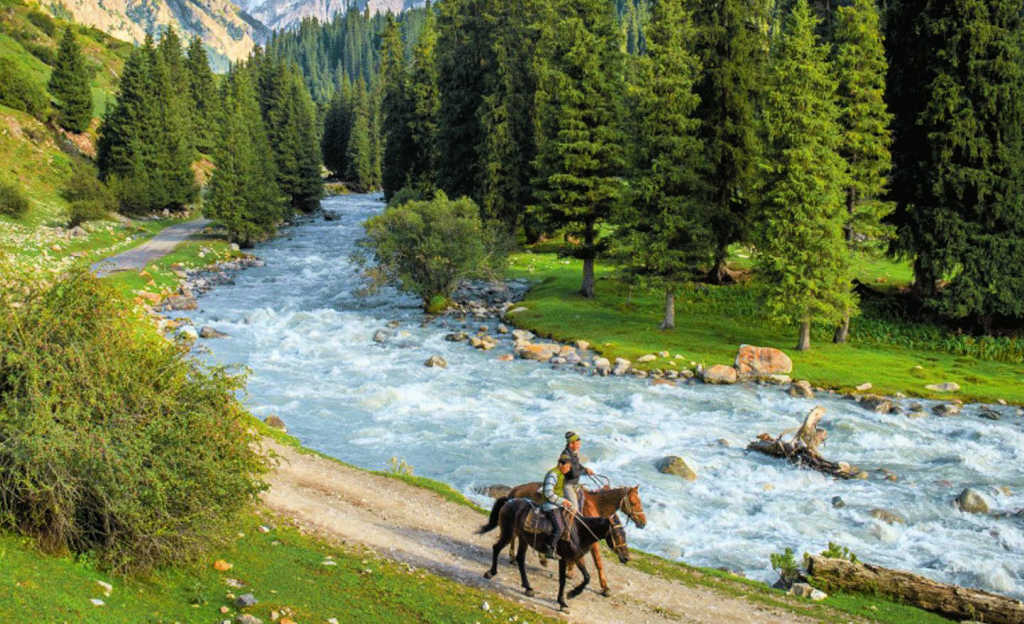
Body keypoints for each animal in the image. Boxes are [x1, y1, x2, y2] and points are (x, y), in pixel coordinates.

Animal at [475, 497, 626, 610]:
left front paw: (572, 594)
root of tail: (509, 501)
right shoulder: (564, 558)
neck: (579, 531)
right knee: (496, 548)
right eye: (618, 534)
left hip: (523, 539)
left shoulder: (576, 557)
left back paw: (528, 587)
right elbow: (563, 580)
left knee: (520, 558)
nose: (626, 557)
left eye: (624, 534)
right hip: (508, 533)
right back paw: (491, 573)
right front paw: (563, 602)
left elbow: (587, 577)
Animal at [481, 481, 643, 594]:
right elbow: (598, 562)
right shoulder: (592, 542)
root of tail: (514, 491)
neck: (595, 506)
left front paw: (570, 573)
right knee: (508, 541)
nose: (643, 522)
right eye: (634, 502)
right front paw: (605, 588)